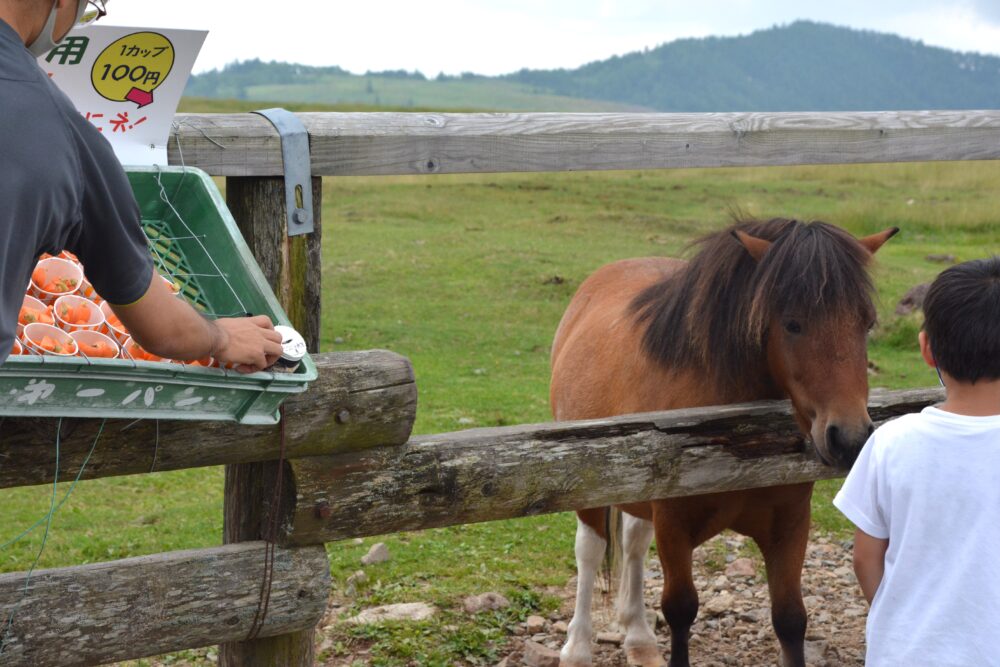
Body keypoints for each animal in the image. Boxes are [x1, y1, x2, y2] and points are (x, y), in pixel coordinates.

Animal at [552, 219, 896, 667]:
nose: (850, 438)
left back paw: (639, 638)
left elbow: (790, 618)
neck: (734, 432)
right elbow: (681, 610)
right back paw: (577, 648)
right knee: (590, 551)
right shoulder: (674, 525)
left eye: (866, 323)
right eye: (792, 323)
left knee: (633, 545)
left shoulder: (789, 524)